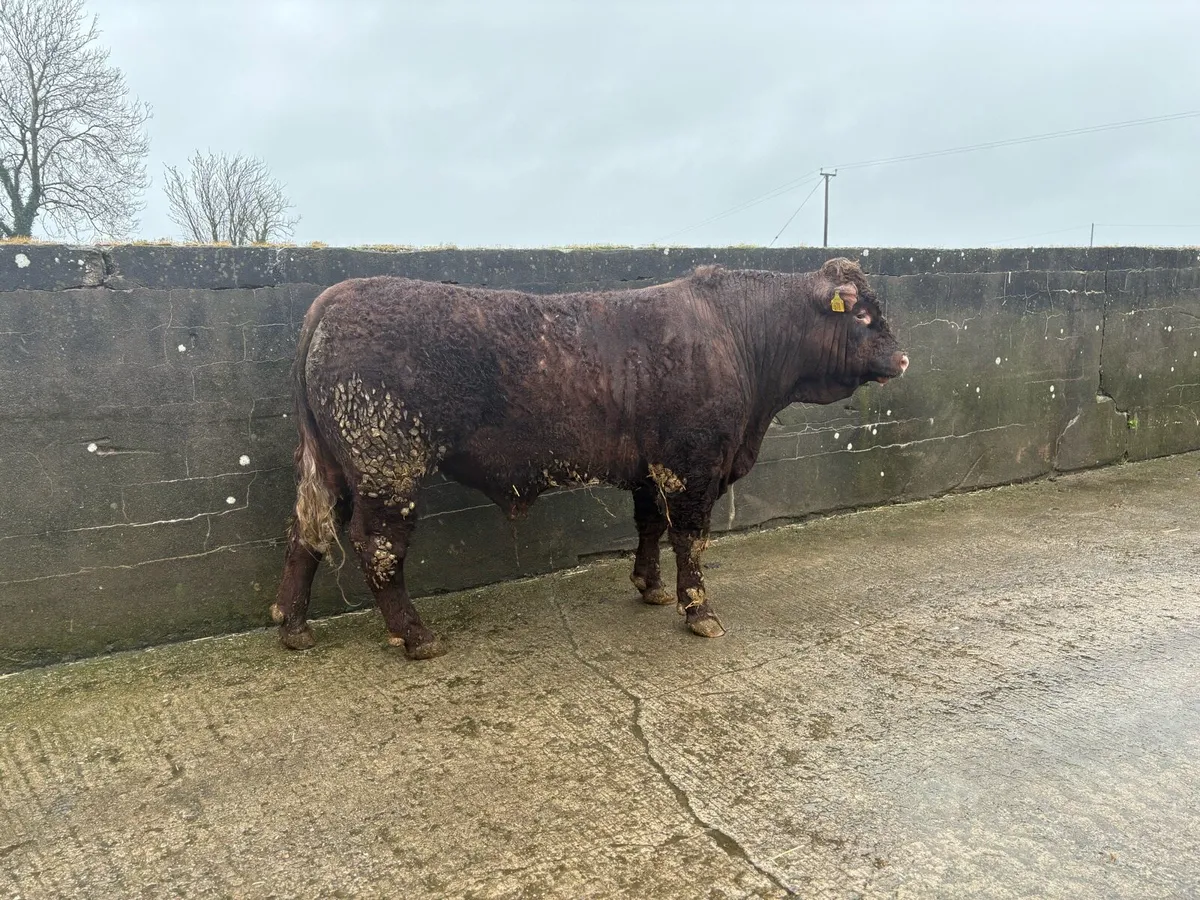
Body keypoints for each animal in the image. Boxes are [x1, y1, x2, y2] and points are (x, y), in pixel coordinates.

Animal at [270, 258, 908, 659]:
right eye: (862, 315)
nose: (903, 359)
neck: (736, 335)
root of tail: (338, 295)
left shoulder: (652, 470)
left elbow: (649, 526)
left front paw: (650, 586)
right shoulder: (692, 466)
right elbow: (691, 538)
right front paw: (698, 611)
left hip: (336, 466)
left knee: (308, 531)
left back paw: (293, 627)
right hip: (389, 466)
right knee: (377, 547)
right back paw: (415, 636)